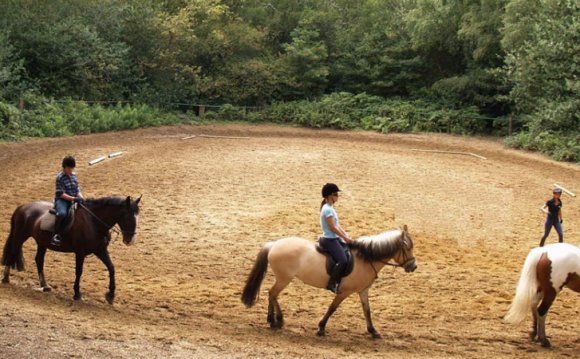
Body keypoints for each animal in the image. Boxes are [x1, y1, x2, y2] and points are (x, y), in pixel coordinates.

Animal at [1, 197, 141, 304]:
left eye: (137, 216)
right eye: (127, 216)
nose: (130, 240)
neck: (94, 222)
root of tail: (22, 207)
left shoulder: (100, 250)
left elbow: (111, 268)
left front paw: (110, 295)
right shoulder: (80, 252)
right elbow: (79, 272)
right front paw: (77, 294)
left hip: (42, 242)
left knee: (39, 260)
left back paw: (44, 285)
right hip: (20, 236)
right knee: (13, 252)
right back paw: (6, 278)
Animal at [241, 226, 416, 338]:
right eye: (407, 248)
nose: (413, 266)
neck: (365, 259)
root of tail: (274, 244)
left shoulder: (363, 290)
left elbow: (367, 310)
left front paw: (373, 331)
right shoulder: (345, 291)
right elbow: (332, 308)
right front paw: (321, 328)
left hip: (283, 278)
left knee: (272, 294)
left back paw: (272, 321)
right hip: (284, 278)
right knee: (272, 293)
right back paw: (277, 320)